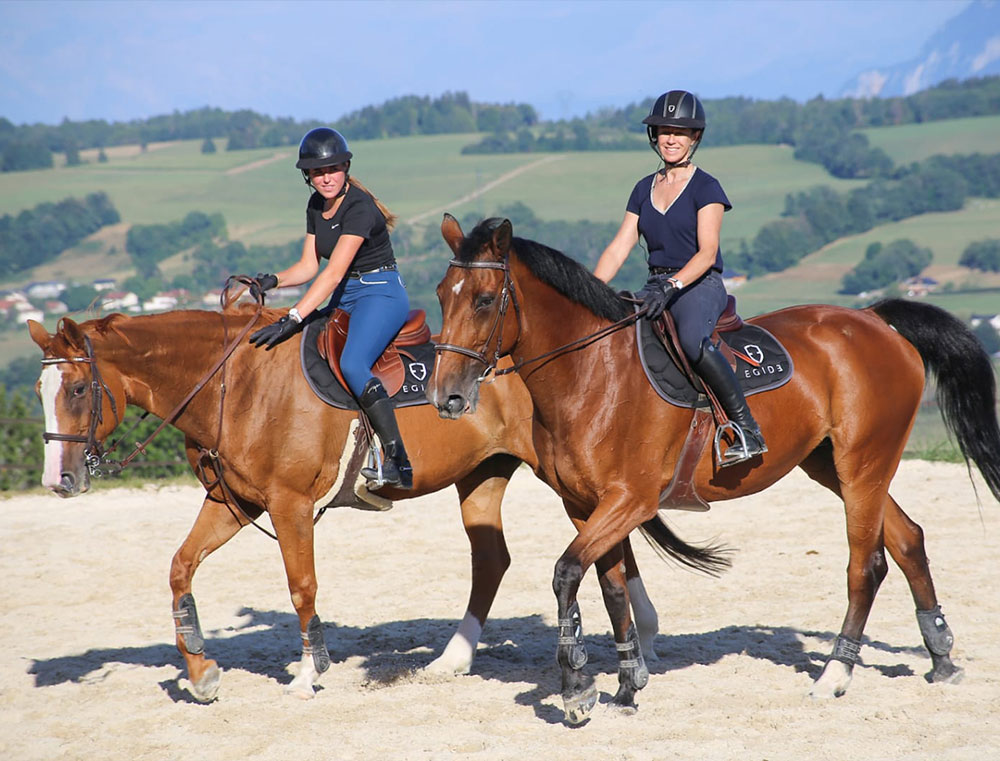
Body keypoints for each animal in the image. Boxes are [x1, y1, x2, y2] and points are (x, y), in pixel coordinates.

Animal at [27, 305, 662, 702]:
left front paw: (309, 672)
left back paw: (645, 634)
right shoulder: (233, 503)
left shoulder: (287, 504)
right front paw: (202, 673)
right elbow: (181, 568)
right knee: (499, 561)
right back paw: (455, 659)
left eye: (78, 389)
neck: (239, 385)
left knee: (608, 538)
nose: (58, 479)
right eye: (41, 391)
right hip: (483, 476)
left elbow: (301, 586)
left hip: (567, 476)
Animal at [428, 215, 1000, 724]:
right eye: (440, 295)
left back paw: (836, 675)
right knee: (907, 538)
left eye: (483, 300)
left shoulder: (630, 501)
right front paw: (627, 687)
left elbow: (567, 574)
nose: (446, 397)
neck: (591, 374)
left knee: (867, 564)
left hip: (863, 464)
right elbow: (613, 590)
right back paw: (942, 658)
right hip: (833, 467)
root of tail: (875, 319)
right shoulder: (585, 506)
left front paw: (575, 691)